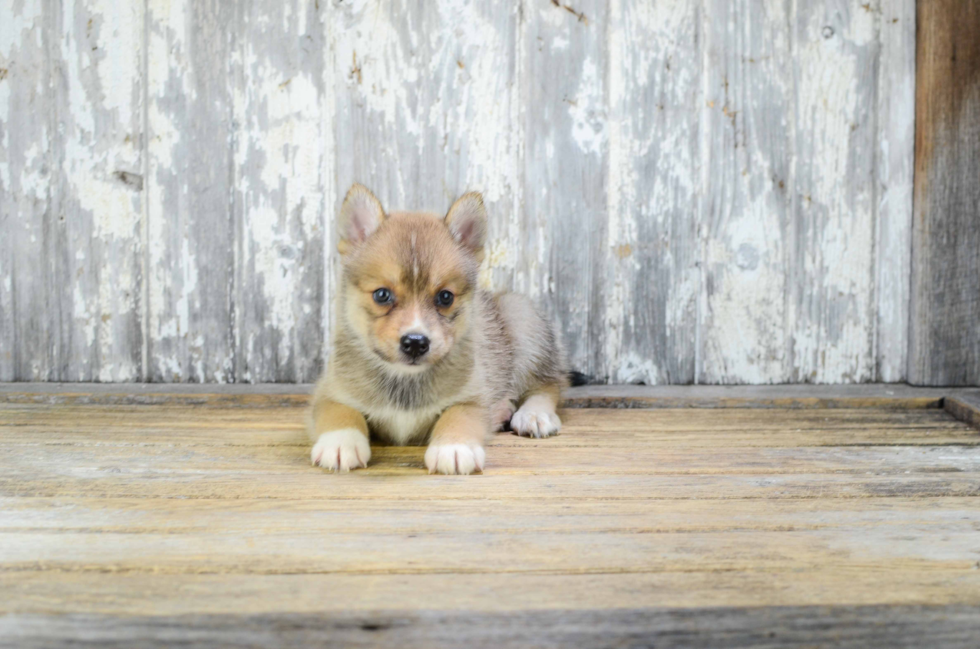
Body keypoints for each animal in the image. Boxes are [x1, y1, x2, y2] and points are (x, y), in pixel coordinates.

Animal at [310, 184, 572, 476]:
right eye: (381, 294)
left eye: (445, 297)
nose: (415, 342)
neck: (405, 381)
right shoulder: (329, 392)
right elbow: (341, 412)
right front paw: (339, 443)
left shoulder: (473, 397)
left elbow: (457, 415)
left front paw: (454, 448)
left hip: (524, 321)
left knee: (551, 383)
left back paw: (533, 414)